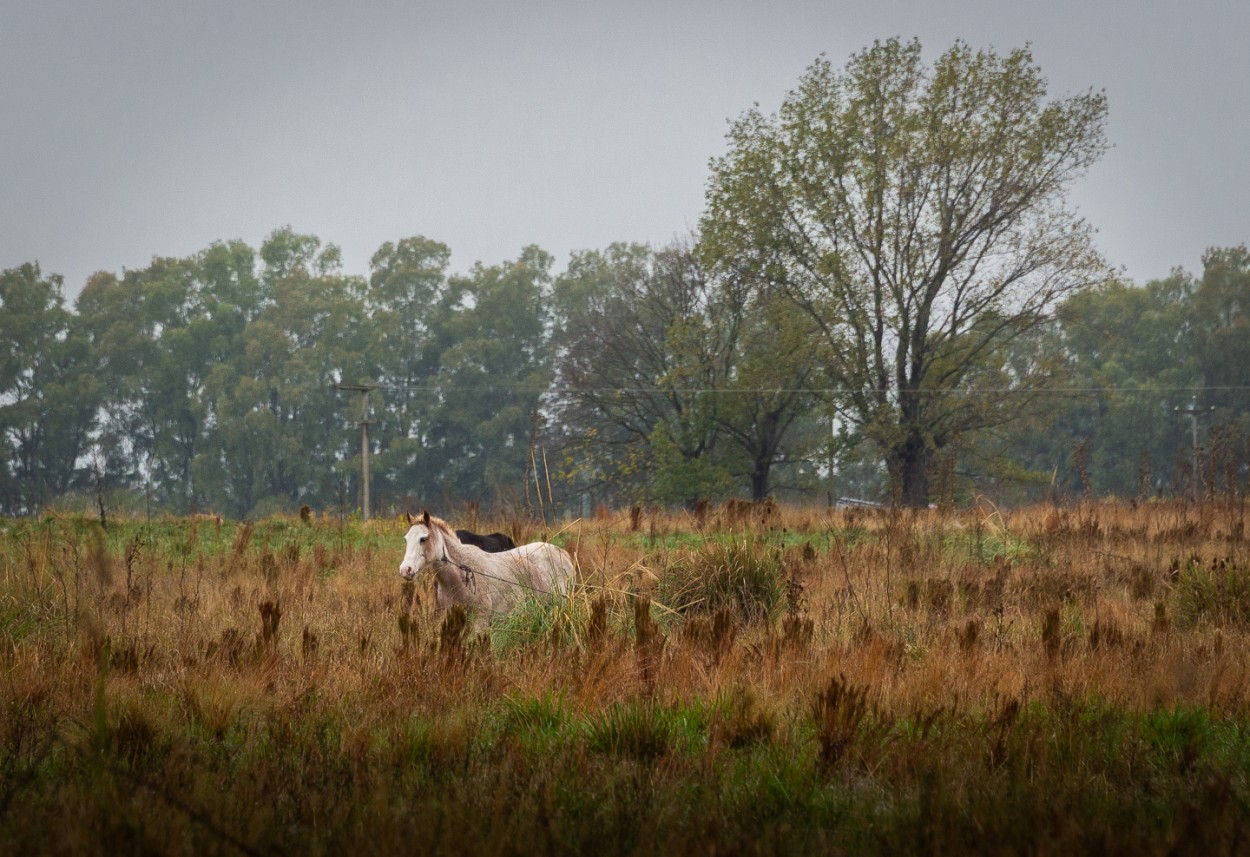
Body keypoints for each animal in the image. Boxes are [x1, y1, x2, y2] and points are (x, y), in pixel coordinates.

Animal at [400, 514, 575, 627]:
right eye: (406, 539)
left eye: (423, 539)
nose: (405, 570)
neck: (461, 578)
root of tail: (562, 554)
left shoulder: (480, 621)